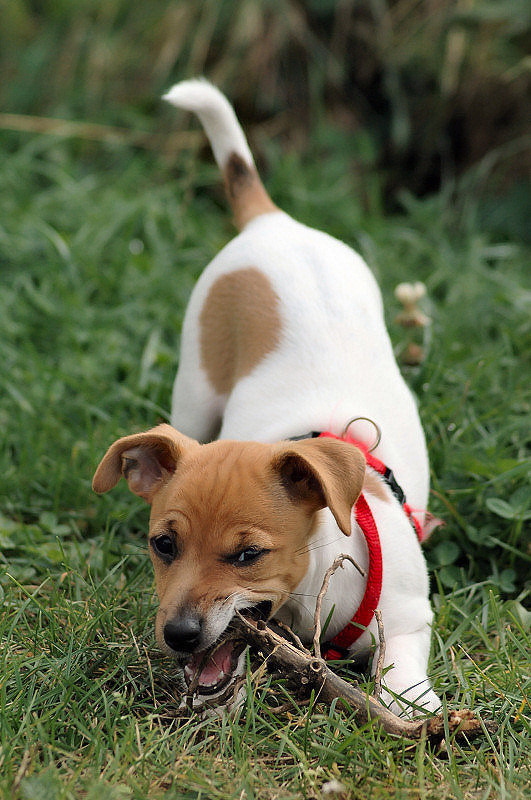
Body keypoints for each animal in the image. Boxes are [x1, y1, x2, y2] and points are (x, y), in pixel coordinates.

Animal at [93, 81, 442, 716]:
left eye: (248, 555)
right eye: (163, 545)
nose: (179, 635)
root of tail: (272, 223)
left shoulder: (408, 616)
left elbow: (400, 672)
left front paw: (415, 708)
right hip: (194, 391)